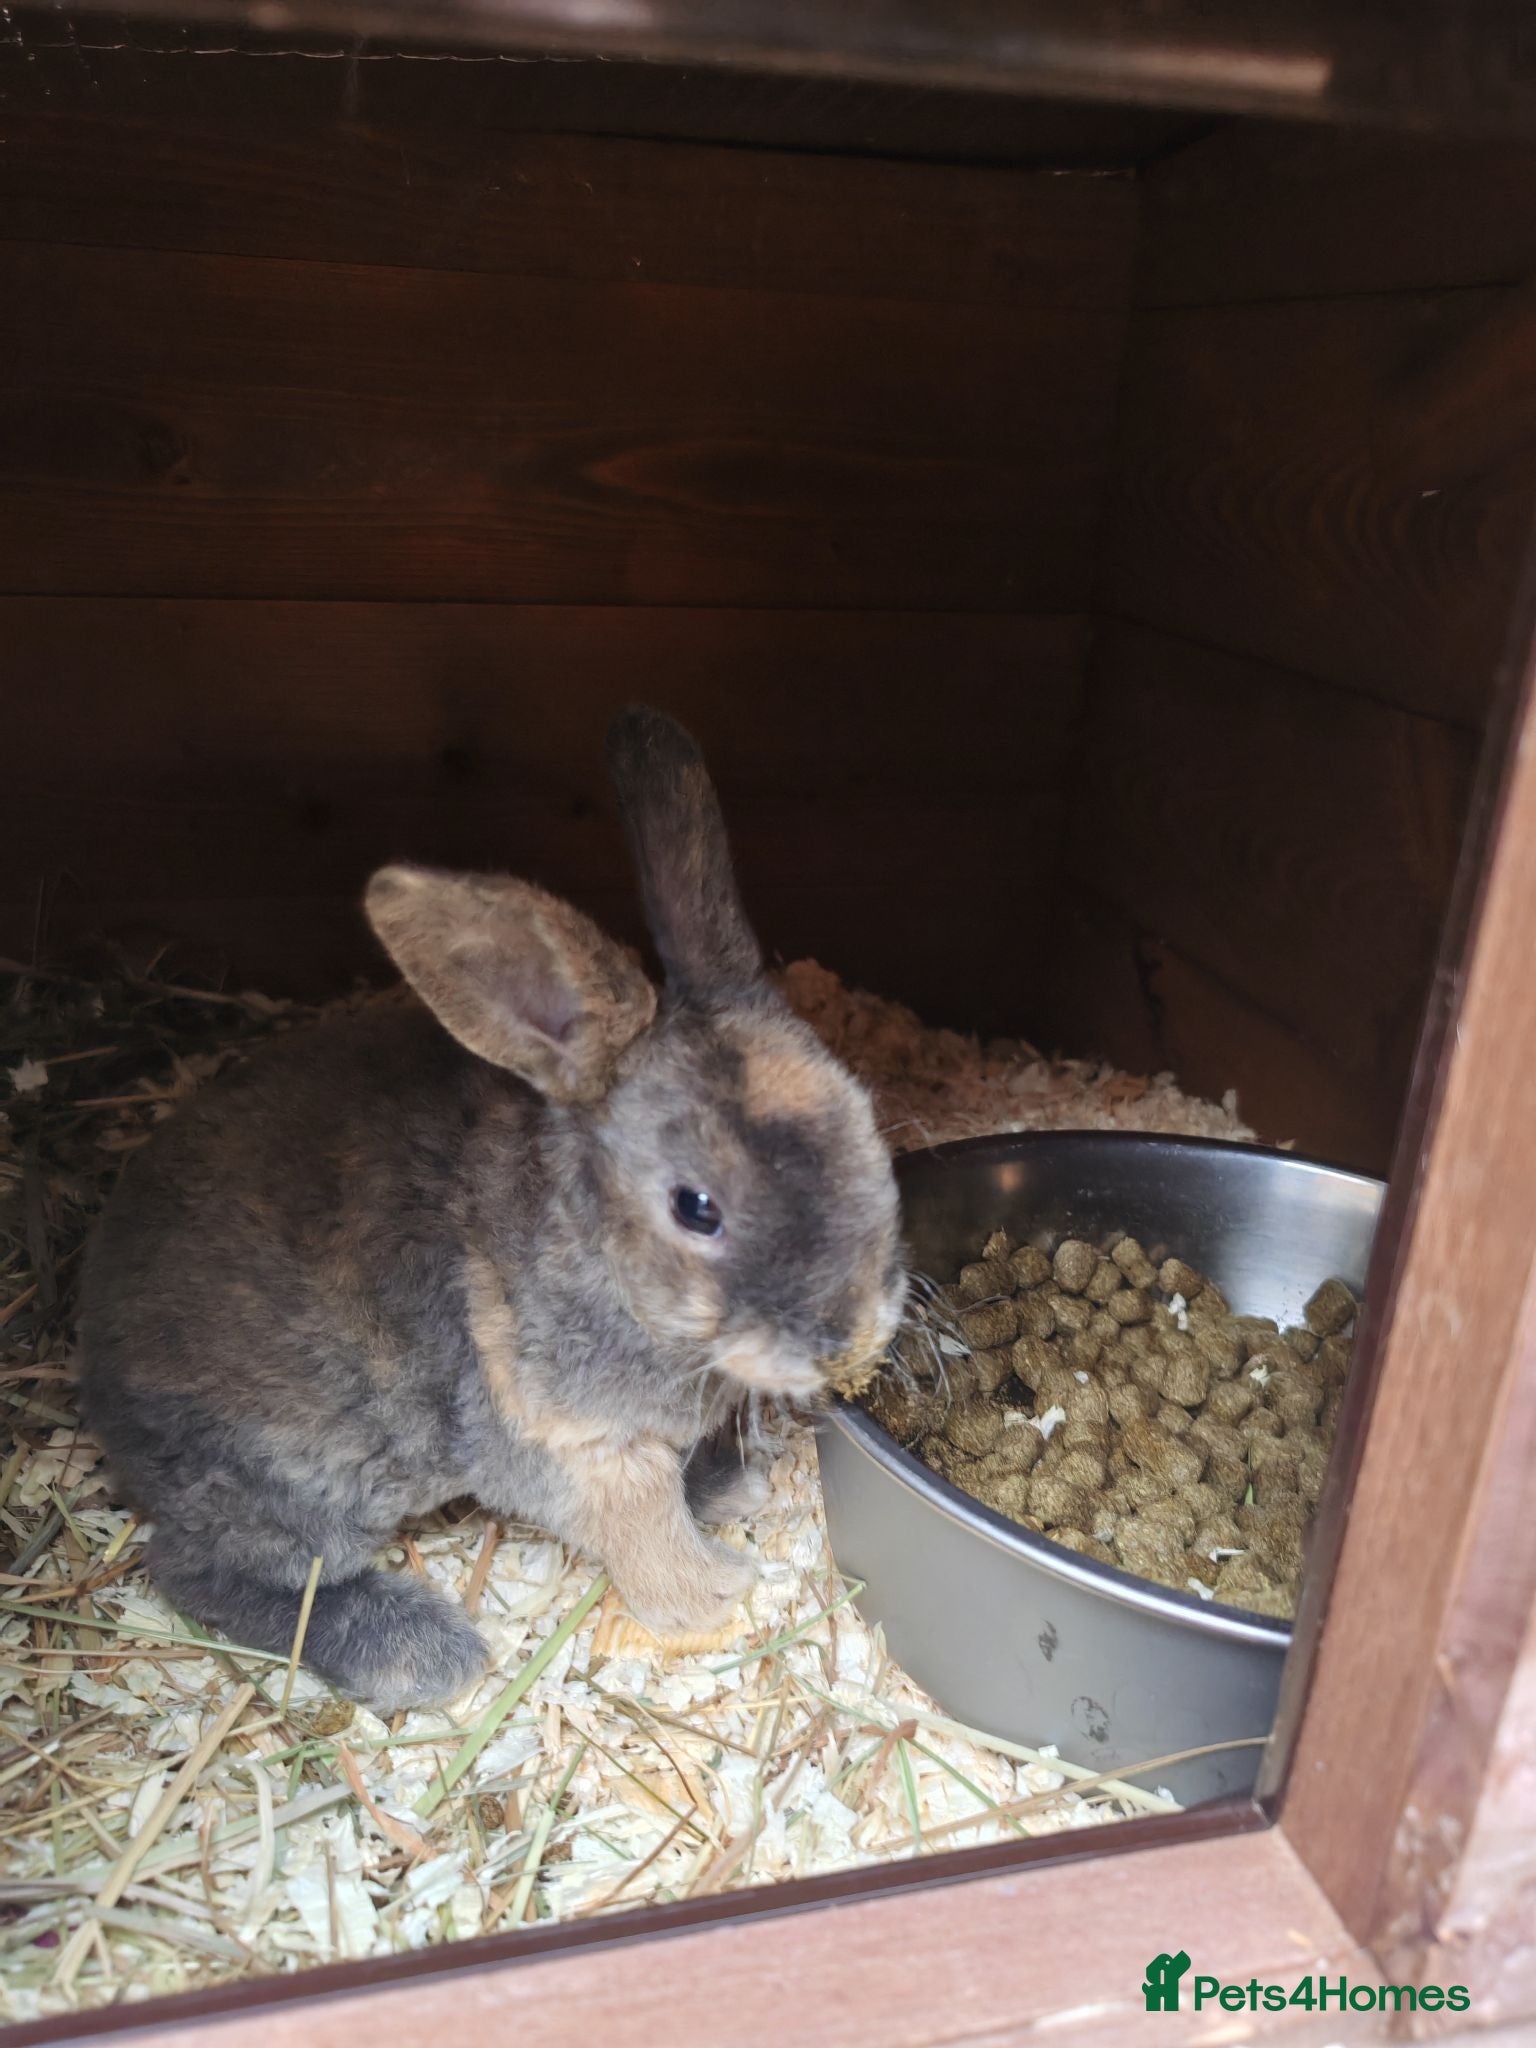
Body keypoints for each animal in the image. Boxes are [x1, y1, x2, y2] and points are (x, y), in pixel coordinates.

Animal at [78, 708, 906, 1711]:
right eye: (696, 1207)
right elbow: (649, 1538)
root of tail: (92, 1369)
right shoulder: (580, 1446)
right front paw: (719, 1599)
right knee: (203, 1570)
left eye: (863, 1116)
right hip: (296, 1482)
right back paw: (420, 1652)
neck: (607, 1262)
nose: (849, 1333)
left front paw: (733, 1488)